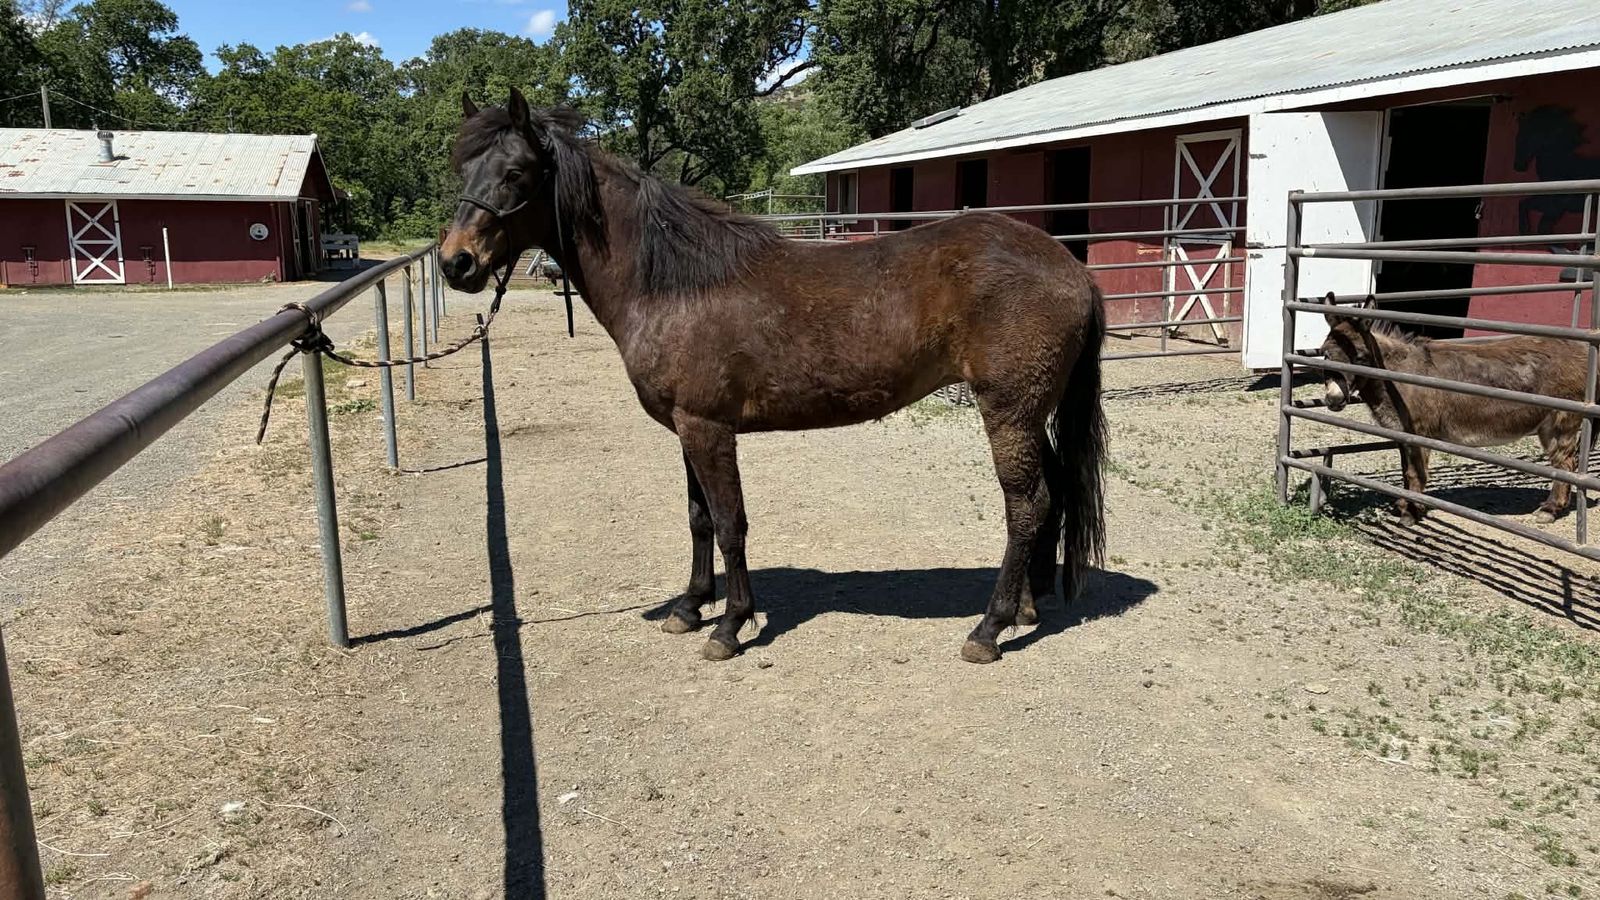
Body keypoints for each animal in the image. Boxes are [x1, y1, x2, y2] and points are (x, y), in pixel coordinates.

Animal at [440, 89, 1108, 664]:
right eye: (462, 168)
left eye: (516, 173)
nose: (455, 263)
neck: (675, 284)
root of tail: (1071, 267)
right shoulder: (687, 429)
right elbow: (699, 518)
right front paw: (689, 608)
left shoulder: (708, 429)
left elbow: (730, 522)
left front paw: (731, 625)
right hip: (1030, 413)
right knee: (1047, 497)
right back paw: (1024, 609)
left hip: (1008, 411)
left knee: (1025, 504)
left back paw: (988, 628)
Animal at [1319, 294, 1587, 525]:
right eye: (1324, 354)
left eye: (1361, 358)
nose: (1333, 399)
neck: (1394, 377)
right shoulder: (1401, 435)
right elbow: (1406, 472)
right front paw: (1404, 506)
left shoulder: (1419, 433)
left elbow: (1416, 474)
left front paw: (1411, 514)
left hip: (1561, 422)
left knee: (1565, 463)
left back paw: (1549, 510)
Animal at [1513, 105, 1600, 236]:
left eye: (1522, 138)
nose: (1518, 166)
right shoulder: (1553, 207)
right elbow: (1524, 204)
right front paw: (1525, 230)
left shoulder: (1555, 207)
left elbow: (1542, 227)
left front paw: (1524, 230)